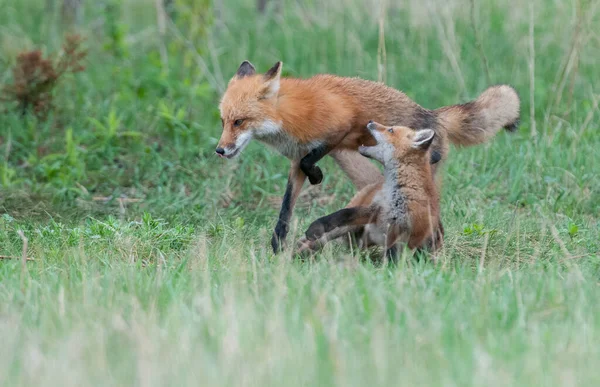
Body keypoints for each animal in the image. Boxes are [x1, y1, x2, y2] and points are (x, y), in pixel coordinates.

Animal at [298, 121, 442, 260]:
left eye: (390, 130)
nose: (370, 121)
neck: (393, 192)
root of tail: (375, 182)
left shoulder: (401, 229)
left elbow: (392, 254)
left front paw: (388, 267)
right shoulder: (375, 209)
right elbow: (342, 214)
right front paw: (315, 227)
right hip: (349, 228)